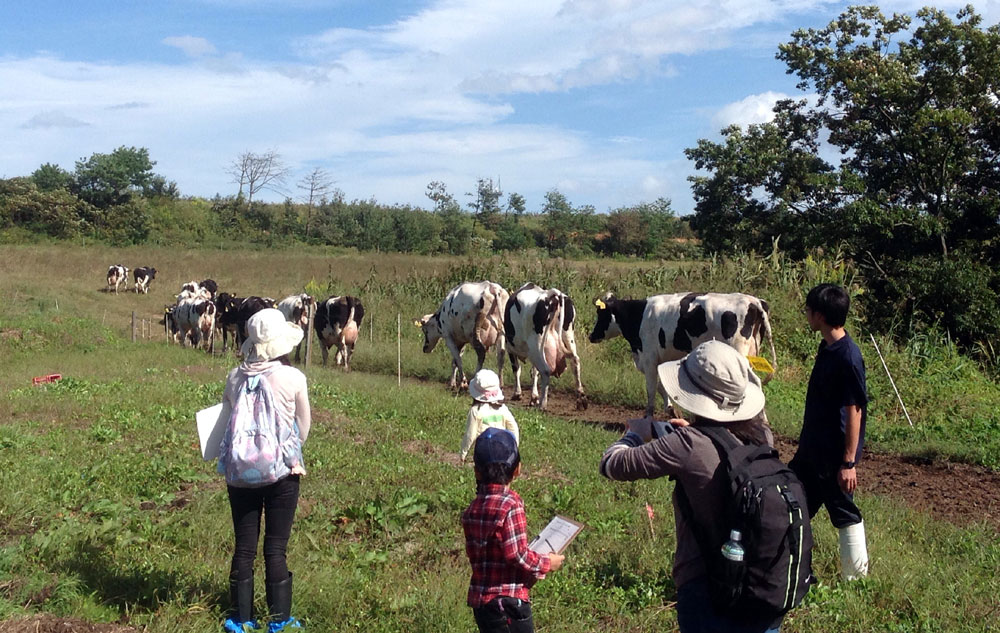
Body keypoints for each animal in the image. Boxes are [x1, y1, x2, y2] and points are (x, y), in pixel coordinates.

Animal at [500, 282, 584, 410]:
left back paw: (542, 404)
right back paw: (581, 400)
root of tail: (551, 295)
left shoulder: (510, 348)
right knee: (575, 361)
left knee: (545, 370)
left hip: (536, 344)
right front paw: (533, 397)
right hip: (567, 336)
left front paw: (518, 394)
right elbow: (534, 372)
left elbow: (517, 369)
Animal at [588, 292, 776, 420]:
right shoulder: (658, 359)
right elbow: (661, 385)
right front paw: (671, 410)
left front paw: (648, 415)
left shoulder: (648, 358)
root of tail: (753, 301)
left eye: (601, 314)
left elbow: (651, 388)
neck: (639, 316)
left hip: (738, 354)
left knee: (755, 381)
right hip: (750, 354)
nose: (591, 336)